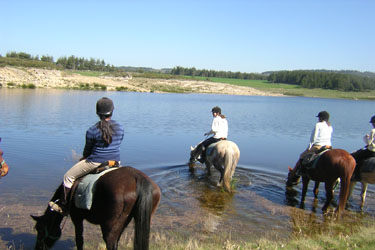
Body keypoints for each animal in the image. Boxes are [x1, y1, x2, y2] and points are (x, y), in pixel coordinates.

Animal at [31, 166, 162, 250]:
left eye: (40, 229)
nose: (38, 248)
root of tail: (139, 179)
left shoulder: (76, 217)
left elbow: (79, 239)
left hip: (109, 226)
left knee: (111, 243)